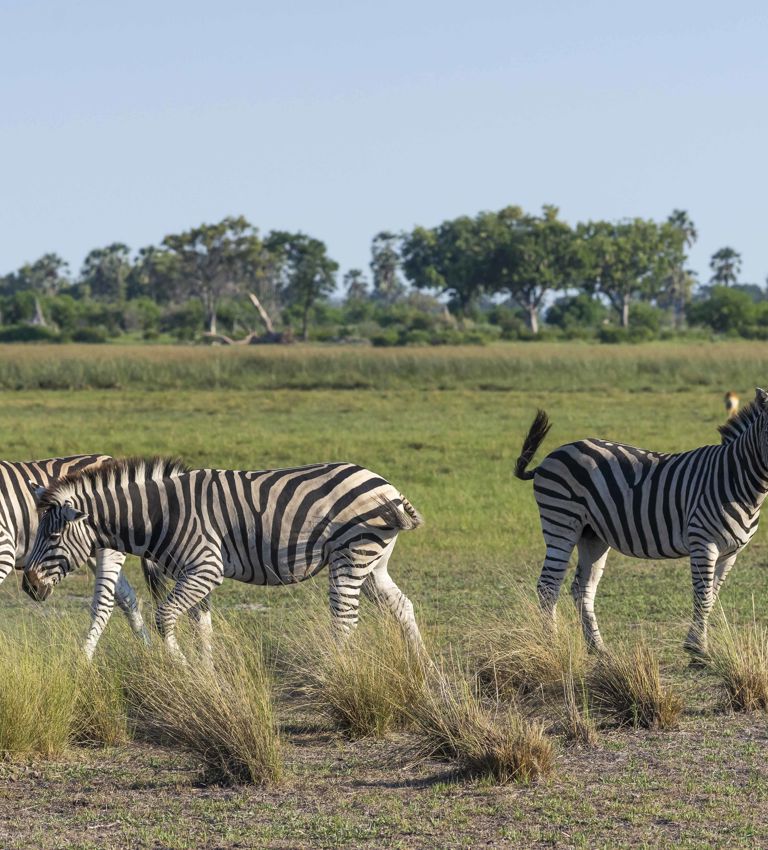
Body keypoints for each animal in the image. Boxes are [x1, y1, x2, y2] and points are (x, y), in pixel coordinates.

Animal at [0, 453, 153, 656]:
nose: (30, 587)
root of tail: (109, 458)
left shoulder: (5, 551)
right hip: (90, 554)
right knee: (126, 596)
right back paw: (157, 651)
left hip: (109, 551)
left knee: (105, 602)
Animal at [23, 457, 425, 662]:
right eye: (37, 533)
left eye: (53, 537)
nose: (29, 586)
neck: (160, 514)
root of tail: (386, 485)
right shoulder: (193, 575)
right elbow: (203, 628)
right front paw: (208, 678)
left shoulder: (205, 568)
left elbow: (164, 616)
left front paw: (181, 669)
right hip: (372, 563)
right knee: (402, 606)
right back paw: (423, 667)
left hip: (352, 556)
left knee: (345, 620)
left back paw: (336, 671)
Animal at [515, 389, 768, 657]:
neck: (737, 479)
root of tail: (552, 456)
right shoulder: (703, 542)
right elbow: (703, 597)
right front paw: (697, 649)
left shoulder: (730, 553)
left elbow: (712, 597)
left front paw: (697, 646)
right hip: (560, 521)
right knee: (548, 586)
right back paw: (551, 645)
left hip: (592, 534)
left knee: (583, 589)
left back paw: (598, 648)